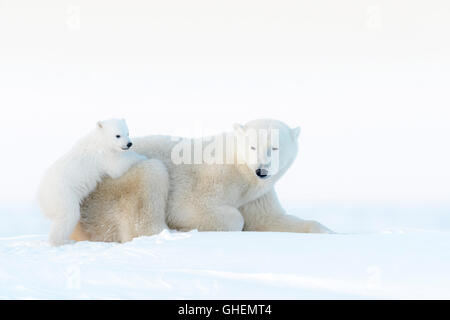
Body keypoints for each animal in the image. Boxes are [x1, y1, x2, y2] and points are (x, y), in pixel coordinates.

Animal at [71, 119, 330, 242]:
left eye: (274, 147)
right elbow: (198, 209)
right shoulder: (213, 177)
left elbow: (270, 219)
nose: (261, 170)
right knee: (150, 178)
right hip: (111, 186)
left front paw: (327, 231)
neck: (240, 169)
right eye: (252, 146)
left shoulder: (257, 195)